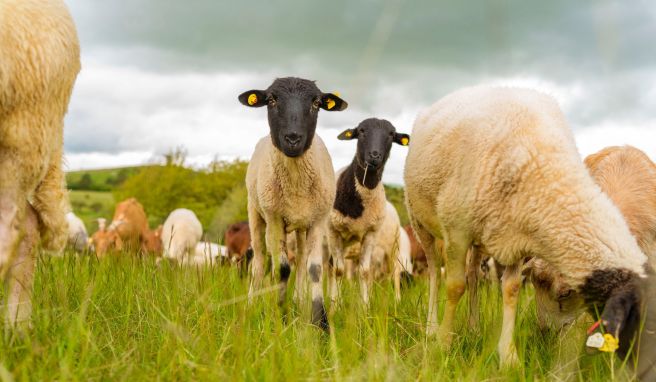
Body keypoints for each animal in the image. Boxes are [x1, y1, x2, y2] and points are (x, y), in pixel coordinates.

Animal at [237, 77, 348, 332]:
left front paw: (321, 323)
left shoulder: (318, 220)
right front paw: (280, 317)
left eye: (317, 102)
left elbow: (314, 268)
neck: (296, 185)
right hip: (255, 214)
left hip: (301, 225)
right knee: (259, 262)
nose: (293, 138)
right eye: (271, 100)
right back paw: (250, 306)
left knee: (301, 260)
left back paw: (298, 301)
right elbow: (282, 269)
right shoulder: (275, 219)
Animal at [326, 118, 408, 306]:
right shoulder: (334, 232)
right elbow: (339, 271)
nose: (374, 156)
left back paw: (397, 300)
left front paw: (365, 306)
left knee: (394, 273)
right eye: (361, 131)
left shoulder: (370, 233)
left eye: (391, 134)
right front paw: (335, 305)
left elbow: (364, 272)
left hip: (393, 249)